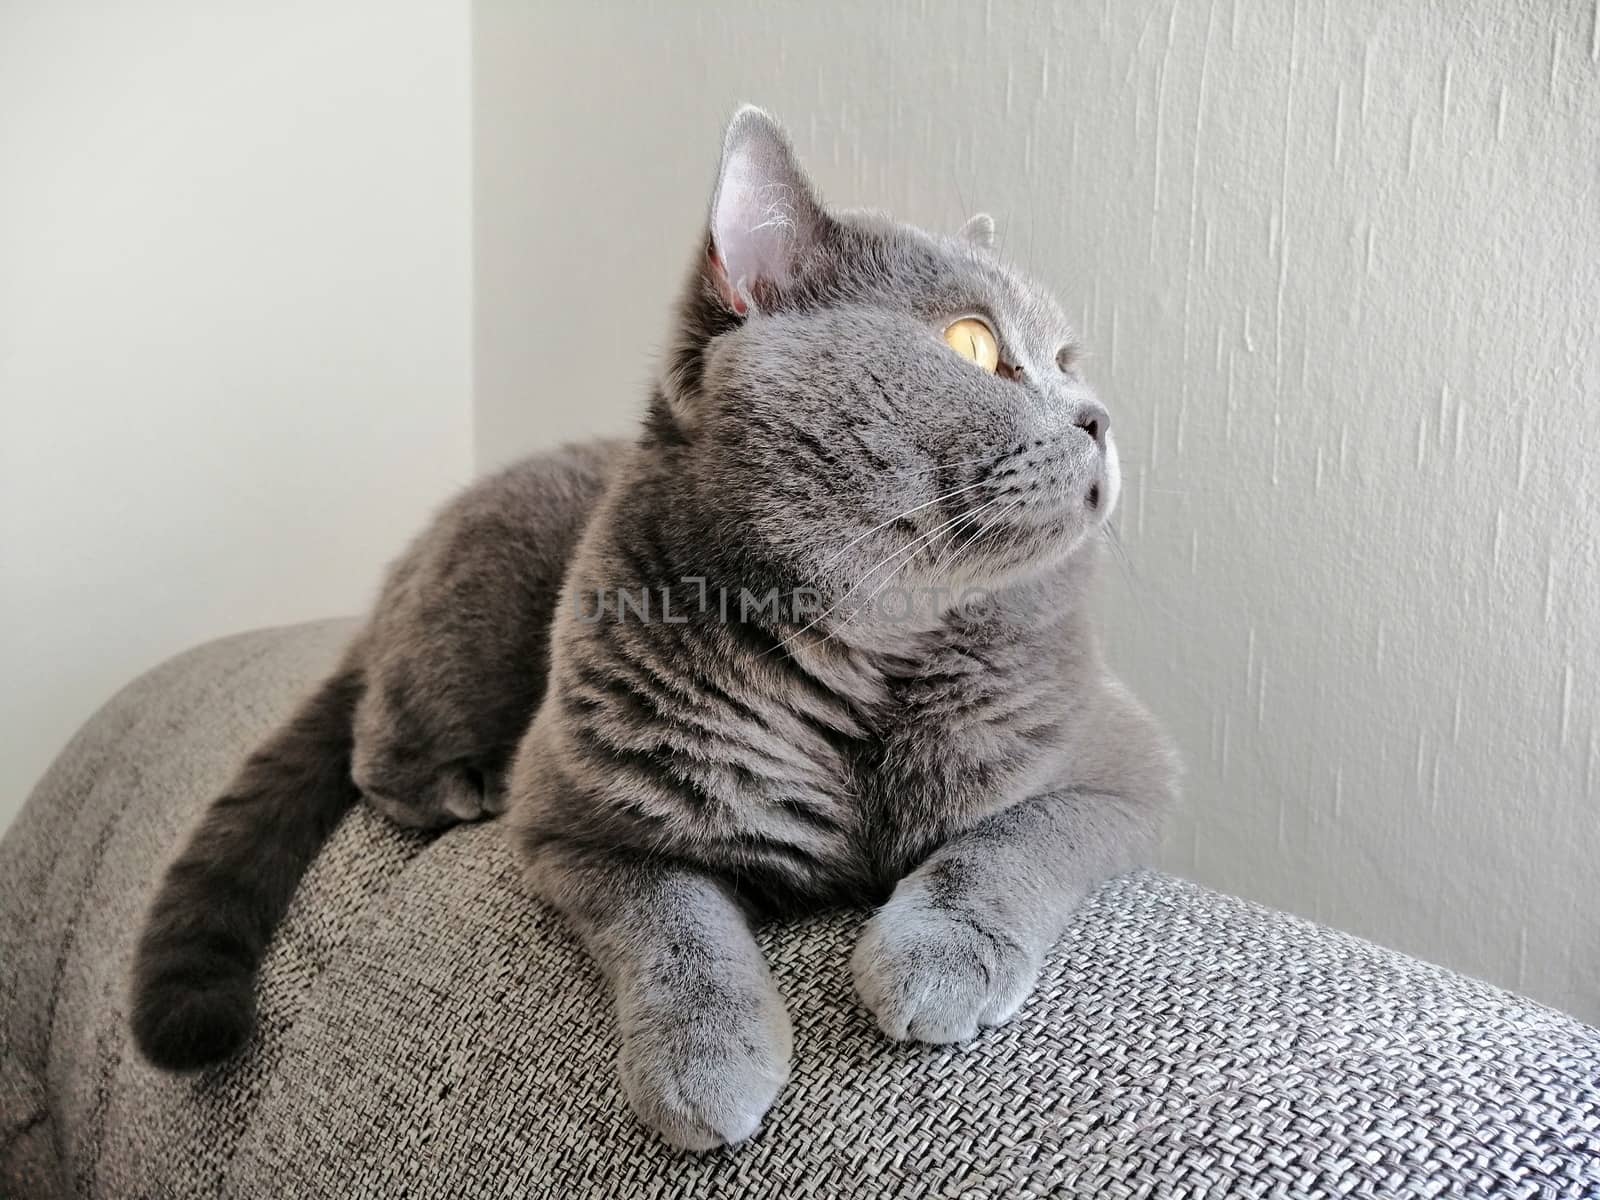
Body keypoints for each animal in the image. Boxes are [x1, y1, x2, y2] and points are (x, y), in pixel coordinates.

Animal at [134, 110, 1177, 1158]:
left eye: (1068, 359)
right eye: (972, 343)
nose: (1099, 417)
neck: (871, 656)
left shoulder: (1126, 766)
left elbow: (1011, 839)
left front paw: (936, 959)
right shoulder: (572, 823)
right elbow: (671, 917)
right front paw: (704, 1065)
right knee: (376, 751)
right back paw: (464, 785)